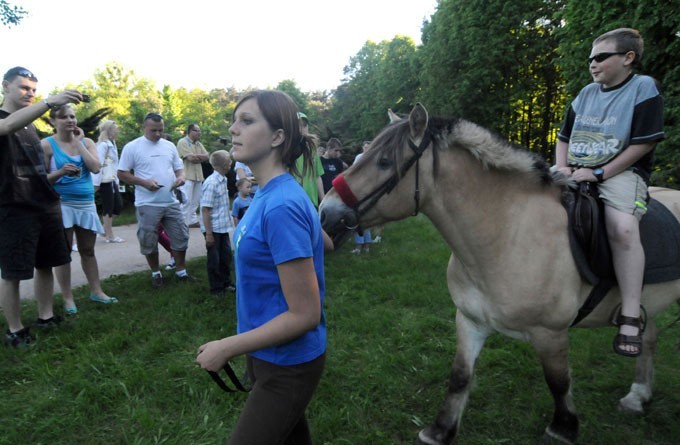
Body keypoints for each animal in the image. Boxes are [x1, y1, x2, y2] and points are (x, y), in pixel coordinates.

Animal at [320, 102, 680, 442]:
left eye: (383, 162)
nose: (325, 212)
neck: (506, 235)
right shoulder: (469, 320)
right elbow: (460, 376)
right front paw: (440, 430)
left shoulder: (551, 333)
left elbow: (558, 382)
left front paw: (563, 429)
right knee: (650, 336)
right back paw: (638, 395)